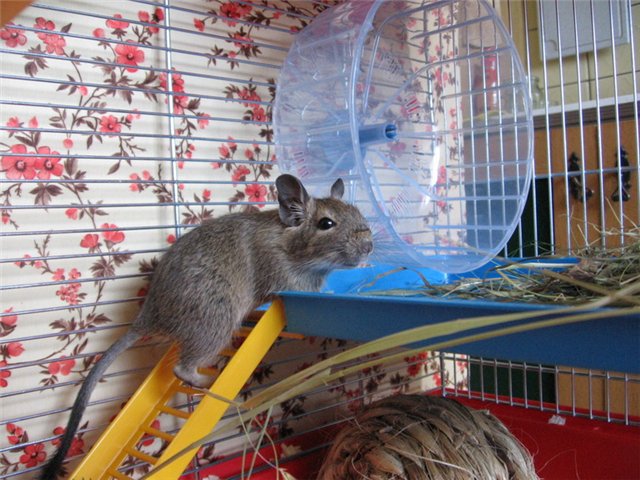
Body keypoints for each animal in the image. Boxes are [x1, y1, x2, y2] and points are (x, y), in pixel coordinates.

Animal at [40, 174, 373, 479]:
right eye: (326, 223)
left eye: (358, 213)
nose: (370, 247)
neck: (291, 244)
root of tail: (148, 316)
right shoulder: (284, 279)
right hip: (217, 323)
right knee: (182, 368)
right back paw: (210, 384)